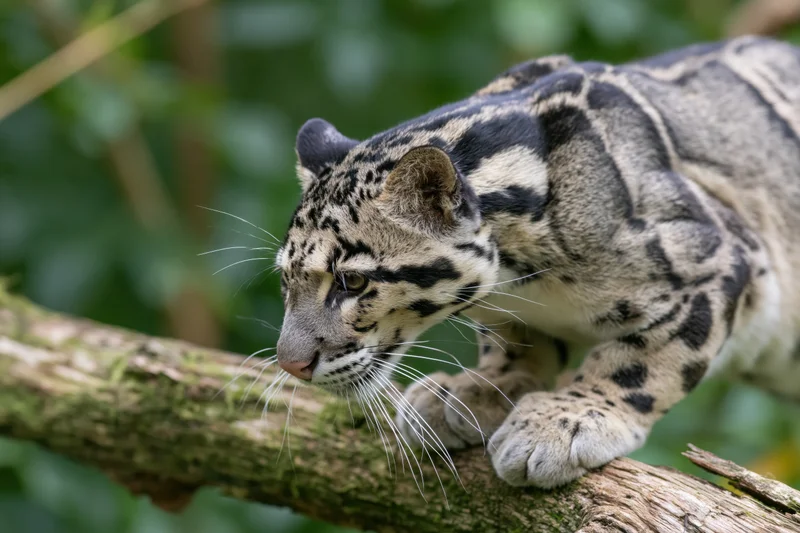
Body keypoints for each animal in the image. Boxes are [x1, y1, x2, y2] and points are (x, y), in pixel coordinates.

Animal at [273, 35, 800, 488]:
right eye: (285, 278)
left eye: (352, 282)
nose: (291, 365)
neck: (522, 278)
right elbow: (512, 341)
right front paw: (481, 386)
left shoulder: (717, 255)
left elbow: (644, 359)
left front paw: (569, 419)